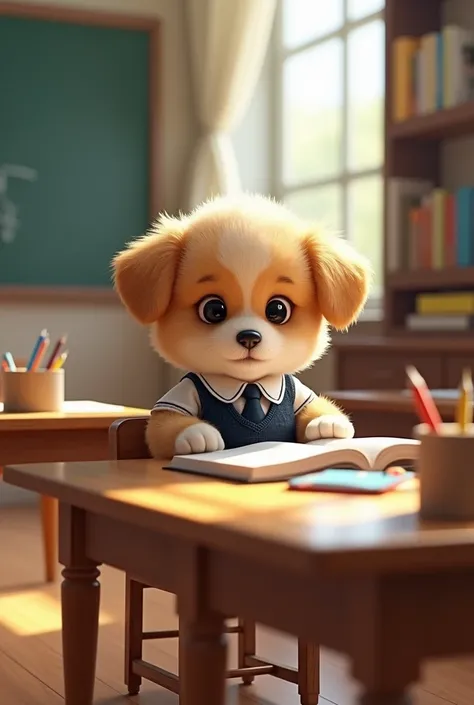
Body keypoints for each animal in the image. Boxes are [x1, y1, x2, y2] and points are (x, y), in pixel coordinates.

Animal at [114, 192, 370, 460]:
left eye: (278, 309)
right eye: (213, 310)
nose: (249, 337)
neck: (248, 383)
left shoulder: (300, 392)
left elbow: (315, 406)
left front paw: (327, 424)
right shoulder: (179, 396)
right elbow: (162, 425)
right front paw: (196, 434)